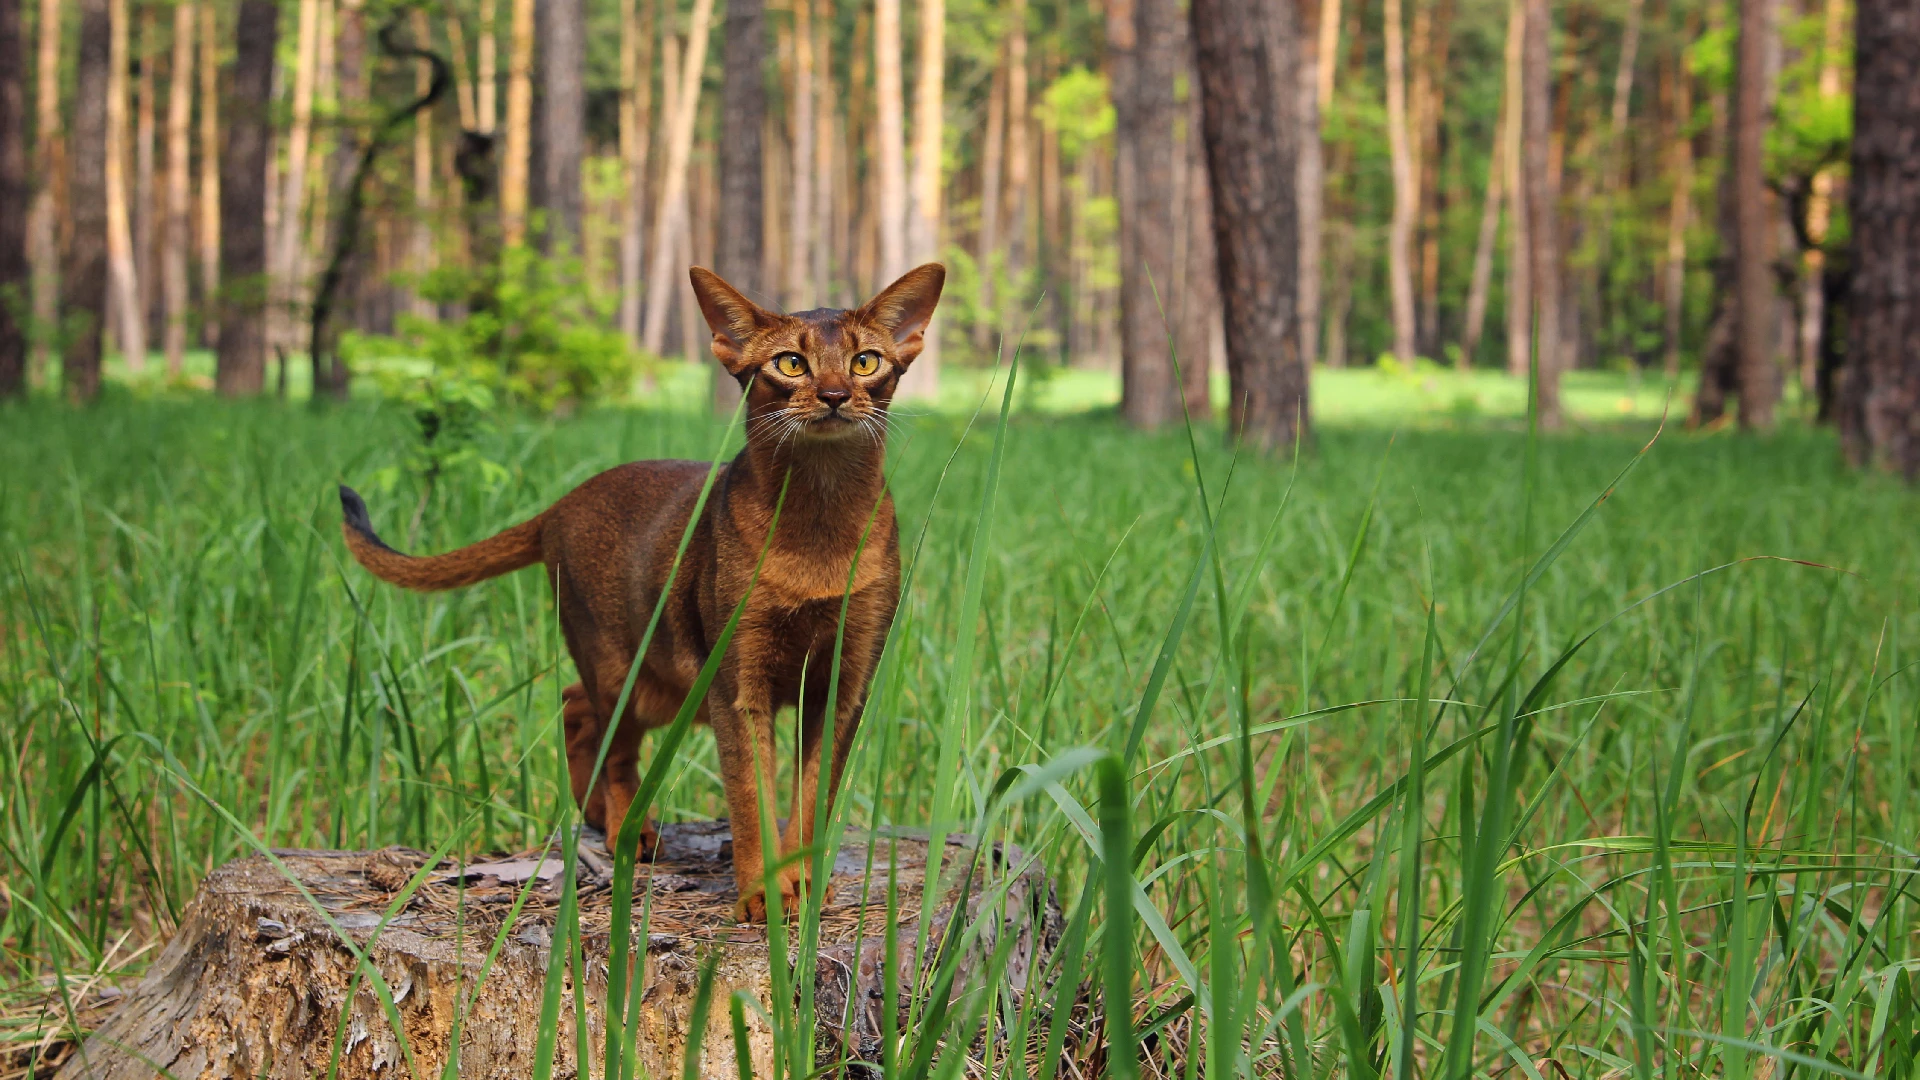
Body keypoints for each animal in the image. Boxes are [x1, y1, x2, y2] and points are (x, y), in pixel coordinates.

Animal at [349, 261, 948, 914]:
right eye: (791, 363)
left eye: (865, 361)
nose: (836, 395)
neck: (819, 521)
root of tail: (558, 506)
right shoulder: (737, 683)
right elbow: (750, 797)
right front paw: (762, 894)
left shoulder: (845, 681)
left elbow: (814, 797)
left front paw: (805, 884)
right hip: (628, 671)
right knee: (604, 734)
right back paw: (624, 831)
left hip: (660, 682)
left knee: (576, 704)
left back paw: (599, 813)